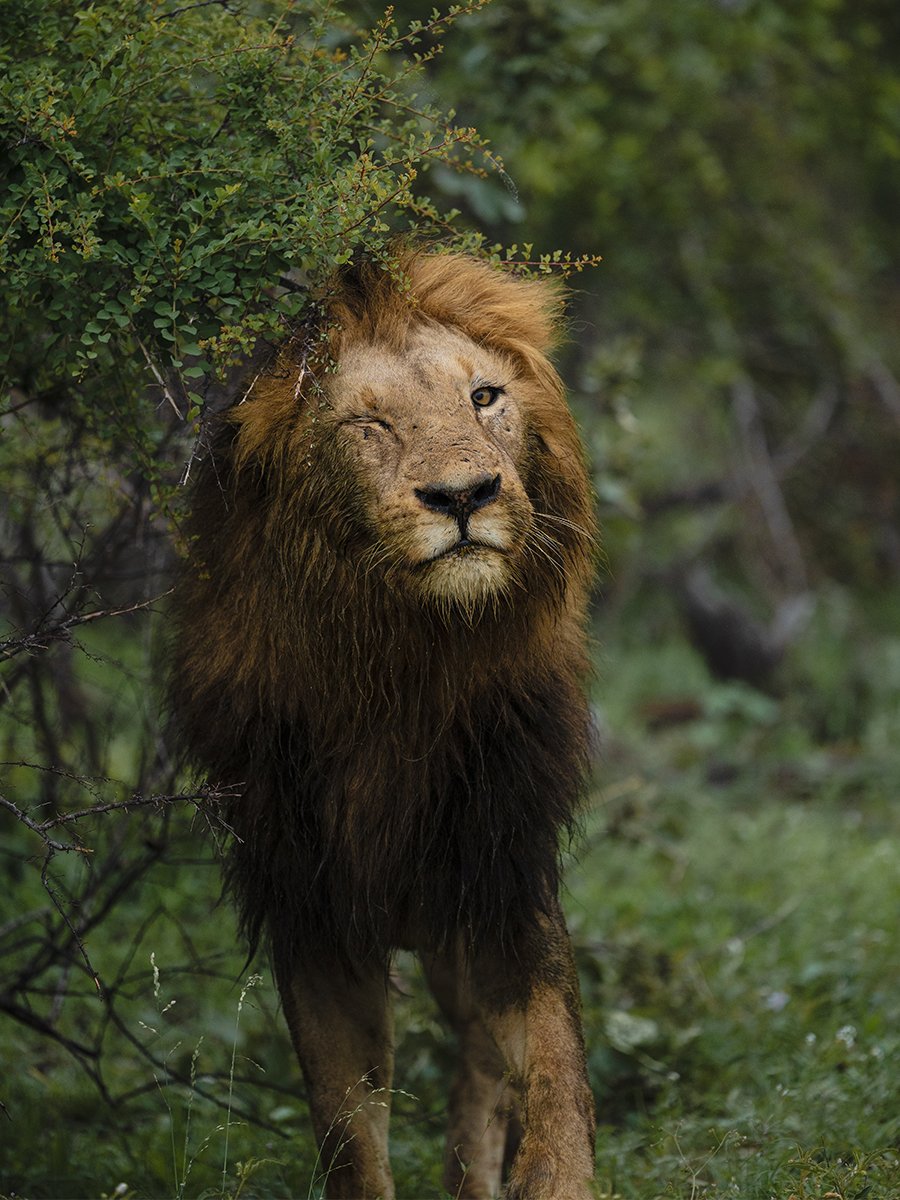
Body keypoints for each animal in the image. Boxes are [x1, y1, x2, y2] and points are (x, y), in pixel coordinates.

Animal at [172, 253, 602, 1200]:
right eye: (368, 424)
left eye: (484, 397)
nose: (466, 495)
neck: (404, 665)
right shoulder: (311, 910)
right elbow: (348, 1128)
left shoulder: (503, 872)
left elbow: (555, 1069)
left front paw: (555, 1175)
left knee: (481, 1069)